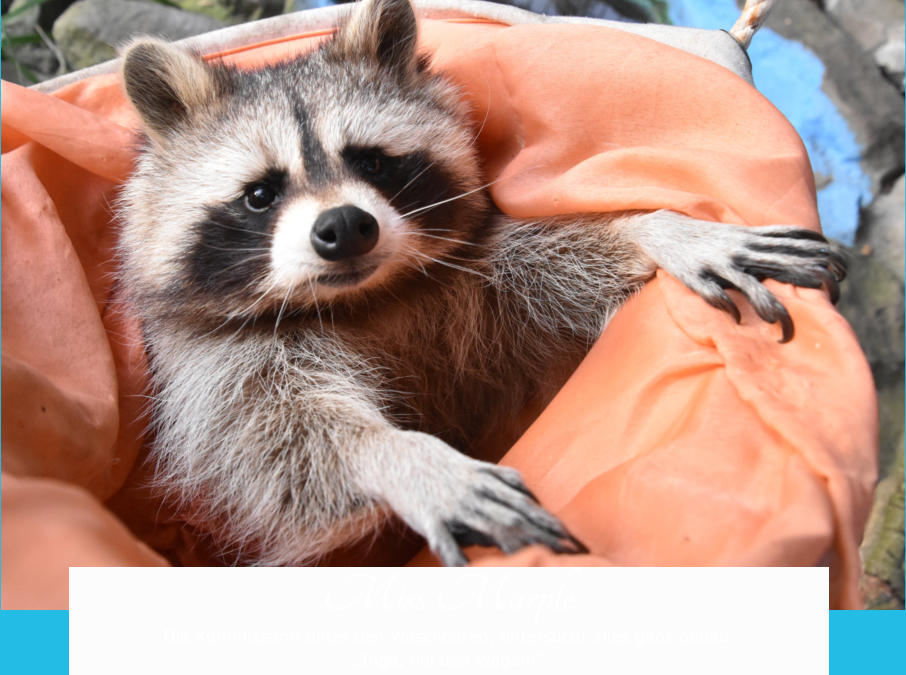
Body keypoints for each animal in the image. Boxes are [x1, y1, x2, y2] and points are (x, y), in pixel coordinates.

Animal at [116, 0, 844, 568]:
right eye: (261, 194)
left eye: (373, 162)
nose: (345, 228)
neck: (367, 295)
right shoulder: (214, 367)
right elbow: (276, 448)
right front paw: (396, 455)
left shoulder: (477, 279)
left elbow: (564, 268)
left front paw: (652, 229)